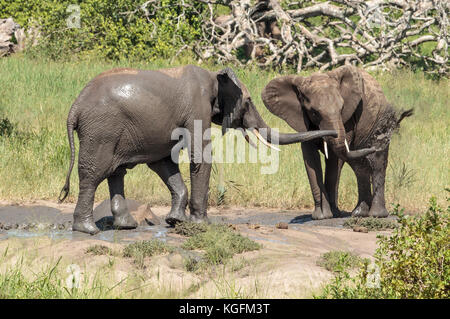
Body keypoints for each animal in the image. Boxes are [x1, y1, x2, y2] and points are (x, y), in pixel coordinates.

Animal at [58, 65, 336, 235]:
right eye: (248, 102)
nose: (332, 134)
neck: (214, 76)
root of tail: (74, 107)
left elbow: (164, 162)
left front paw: (176, 221)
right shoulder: (196, 107)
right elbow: (199, 155)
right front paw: (202, 224)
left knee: (116, 172)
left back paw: (127, 226)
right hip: (100, 130)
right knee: (93, 173)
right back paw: (88, 230)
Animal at [260, 65, 412, 220]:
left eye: (342, 109)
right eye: (314, 113)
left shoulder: (348, 119)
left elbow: (334, 158)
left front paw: (331, 214)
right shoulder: (303, 120)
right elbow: (310, 157)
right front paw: (321, 216)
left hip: (380, 122)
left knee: (377, 163)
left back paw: (376, 215)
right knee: (359, 166)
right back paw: (359, 213)